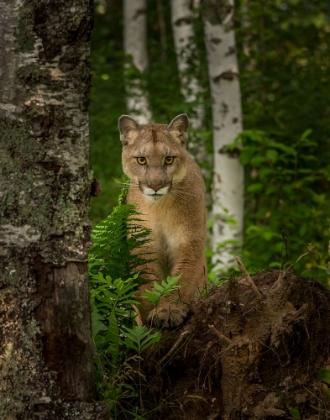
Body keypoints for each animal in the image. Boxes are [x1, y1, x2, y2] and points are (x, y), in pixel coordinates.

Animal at [118, 114, 206, 328]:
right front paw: (147, 323)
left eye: (169, 159)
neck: (160, 208)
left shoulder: (189, 244)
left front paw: (167, 311)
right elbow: (146, 288)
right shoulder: (143, 247)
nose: (156, 185)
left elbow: (181, 281)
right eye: (141, 160)